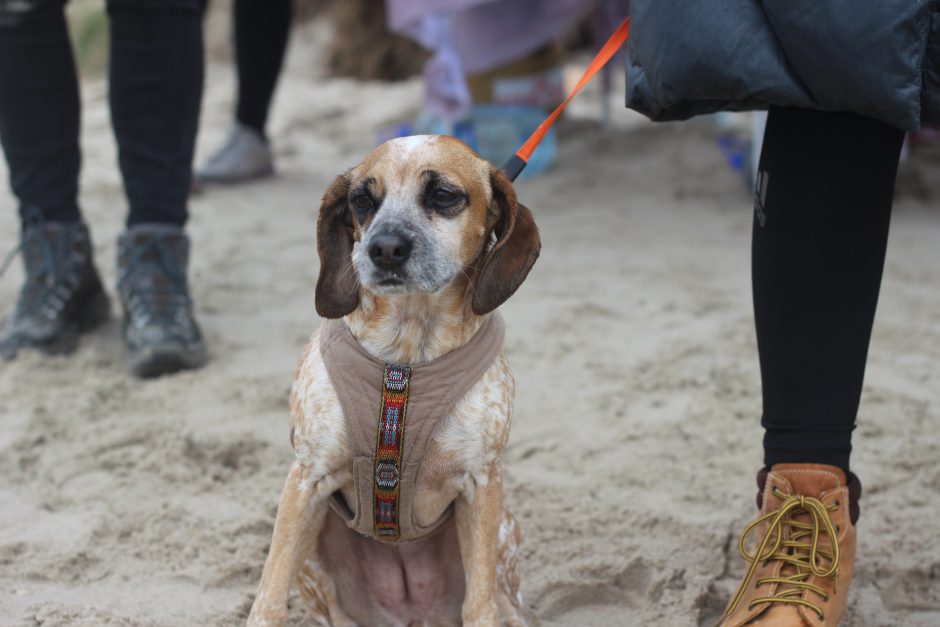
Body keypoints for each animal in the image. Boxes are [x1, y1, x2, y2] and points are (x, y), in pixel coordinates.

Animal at [250, 137, 540, 627]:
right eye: (362, 201)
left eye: (443, 195)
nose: (383, 247)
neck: (407, 348)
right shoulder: (306, 480)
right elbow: (268, 599)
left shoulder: (482, 484)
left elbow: (479, 605)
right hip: (314, 552)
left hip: (503, 537)